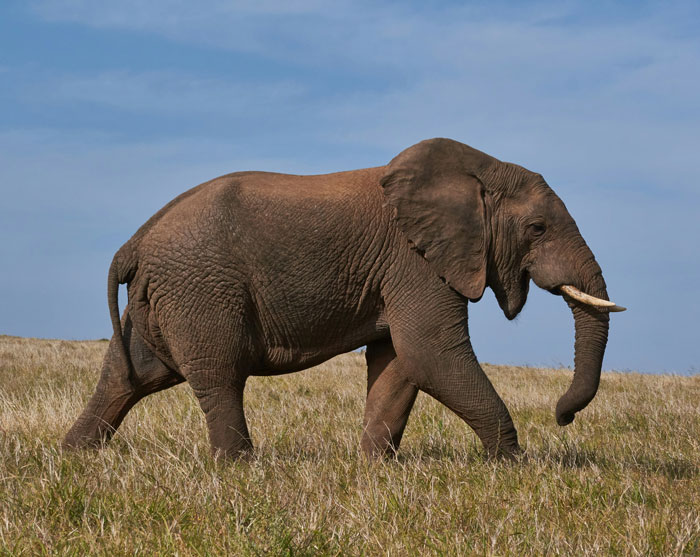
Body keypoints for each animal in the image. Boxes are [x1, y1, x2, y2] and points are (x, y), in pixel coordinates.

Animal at [63, 138, 624, 460]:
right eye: (537, 228)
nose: (562, 417)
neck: (477, 171)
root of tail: (135, 241)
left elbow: (399, 362)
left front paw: (374, 469)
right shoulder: (414, 261)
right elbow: (431, 354)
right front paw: (509, 466)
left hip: (163, 297)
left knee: (130, 375)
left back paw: (74, 458)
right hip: (200, 288)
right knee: (219, 375)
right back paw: (239, 470)